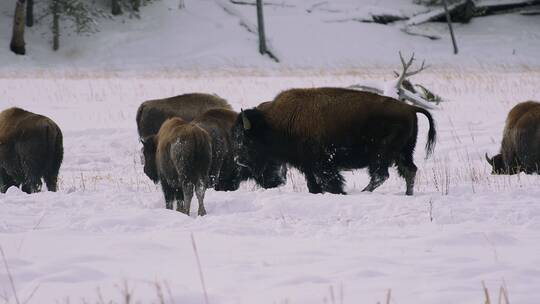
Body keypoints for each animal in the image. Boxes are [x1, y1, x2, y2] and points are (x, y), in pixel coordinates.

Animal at [234, 86, 436, 196]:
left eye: (247, 140)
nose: (239, 161)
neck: (275, 123)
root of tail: (410, 108)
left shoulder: (322, 164)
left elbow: (331, 181)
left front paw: (339, 192)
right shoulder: (307, 165)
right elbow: (312, 184)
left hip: (383, 154)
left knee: (381, 175)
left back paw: (363, 192)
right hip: (403, 153)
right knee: (409, 171)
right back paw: (407, 194)